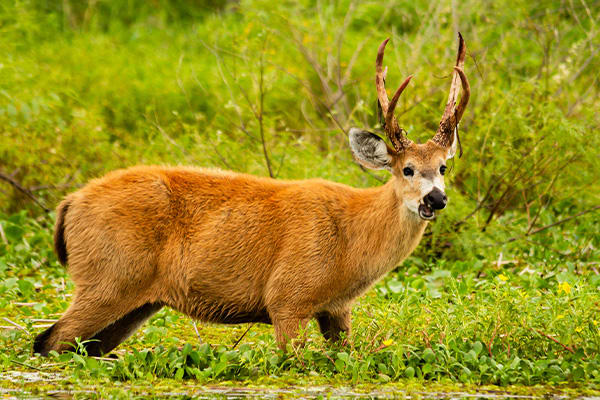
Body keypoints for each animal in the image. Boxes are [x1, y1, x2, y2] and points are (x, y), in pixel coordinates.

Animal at [35, 34, 472, 356]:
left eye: (443, 167)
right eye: (407, 168)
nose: (435, 200)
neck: (351, 240)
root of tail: (69, 203)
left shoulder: (337, 311)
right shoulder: (288, 297)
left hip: (134, 301)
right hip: (107, 277)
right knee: (49, 340)